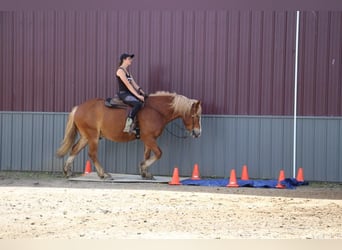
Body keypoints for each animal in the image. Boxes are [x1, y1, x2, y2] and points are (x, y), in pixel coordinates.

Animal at [55, 91, 200, 179]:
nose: (198, 133)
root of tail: (78, 108)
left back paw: (67, 171)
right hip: (93, 136)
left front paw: (145, 173)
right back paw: (103, 174)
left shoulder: (148, 139)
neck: (156, 111)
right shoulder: (148, 138)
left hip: (86, 136)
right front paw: (143, 167)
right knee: (92, 154)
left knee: (75, 149)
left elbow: (147, 154)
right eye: (195, 116)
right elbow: (159, 153)